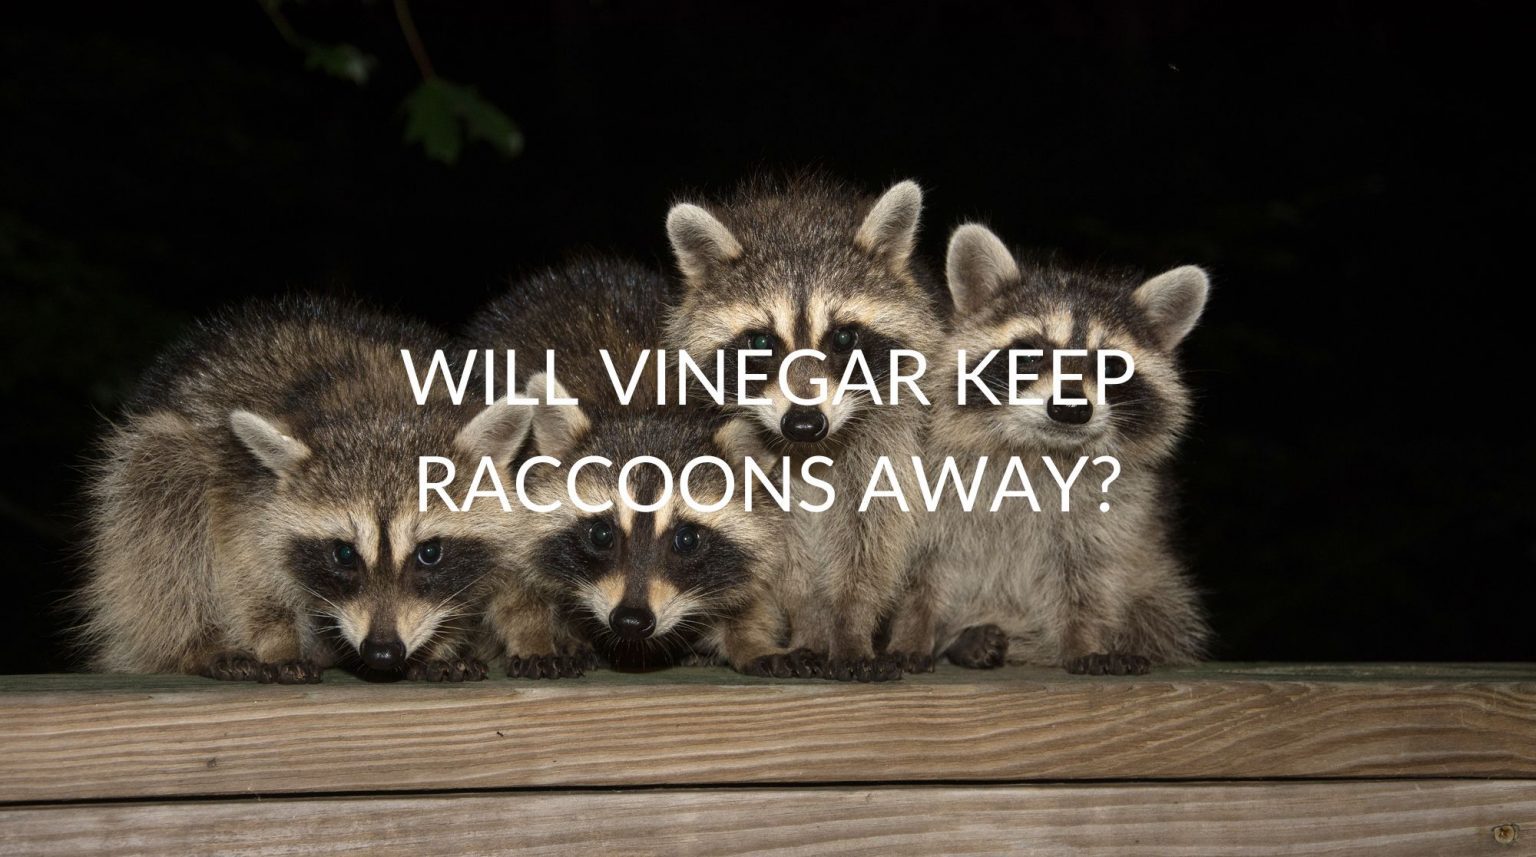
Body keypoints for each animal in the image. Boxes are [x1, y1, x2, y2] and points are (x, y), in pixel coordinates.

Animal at [79, 297, 535, 683]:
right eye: (344, 553)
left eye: (430, 552)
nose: (382, 652)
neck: (383, 404)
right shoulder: (244, 492)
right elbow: (251, 578)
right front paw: (276, 641)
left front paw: (441, 645)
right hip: (157, 458)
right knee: (164, 511)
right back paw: (195, 643)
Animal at [465, 257, 802, 677]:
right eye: (601, 534)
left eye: (687, 539)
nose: (630, 621)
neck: (645, 410)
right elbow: (511, 583)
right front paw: (534, 636)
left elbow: (756, 582)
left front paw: (752, 638)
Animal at [663, 175, 942, 681]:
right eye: (760, 342)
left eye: (844, 338)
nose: (805, 422)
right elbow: (782, 552)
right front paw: (810, 623)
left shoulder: (891, 434)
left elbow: (875, 536)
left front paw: (852, 625)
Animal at [921, 224, 1211, 675]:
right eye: (1028, 353)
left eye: (1112, 366)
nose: (1071, 409)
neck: (1041, 451)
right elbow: (923, 571)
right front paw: (910, 638)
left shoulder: (1113, 513)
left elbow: (1089, 577)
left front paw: (1084, 641)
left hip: (1160, 585)